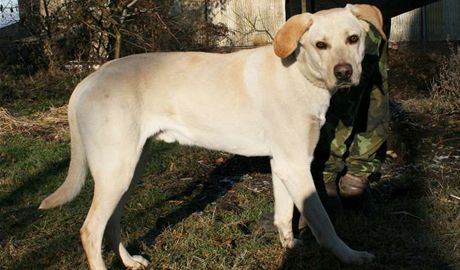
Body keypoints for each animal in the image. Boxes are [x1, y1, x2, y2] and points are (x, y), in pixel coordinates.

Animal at [38, 4, 384, 270]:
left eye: (353, 39)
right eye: (320, 45)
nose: (344, 73)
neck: (299, 74)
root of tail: (89, 79)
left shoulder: (284, 164)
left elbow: (285, 214)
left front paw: (289, 247)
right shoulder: (296, 165)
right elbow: (323, 222)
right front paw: (350, 256)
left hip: (129, 171)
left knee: (110, 224)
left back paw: (130, 261)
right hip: (116, 171)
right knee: (91, 230)